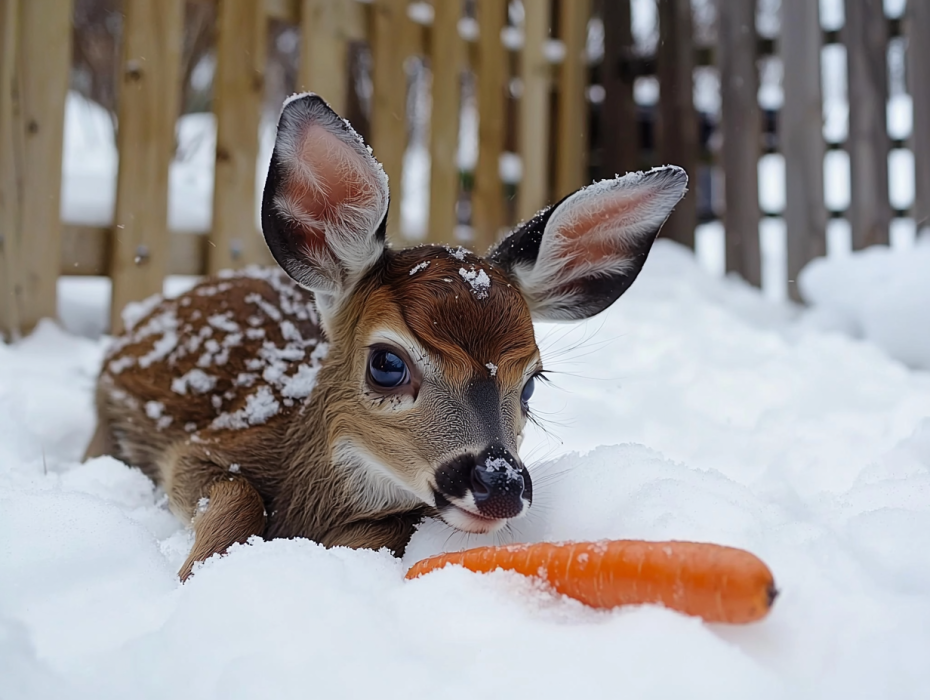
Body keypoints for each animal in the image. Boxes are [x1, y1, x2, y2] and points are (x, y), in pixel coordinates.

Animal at [85, 93, 687, 581]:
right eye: (387, 364)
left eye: (532, 384)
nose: (501, 484)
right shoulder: (201, 449)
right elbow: (238, 498)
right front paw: (193, 577)